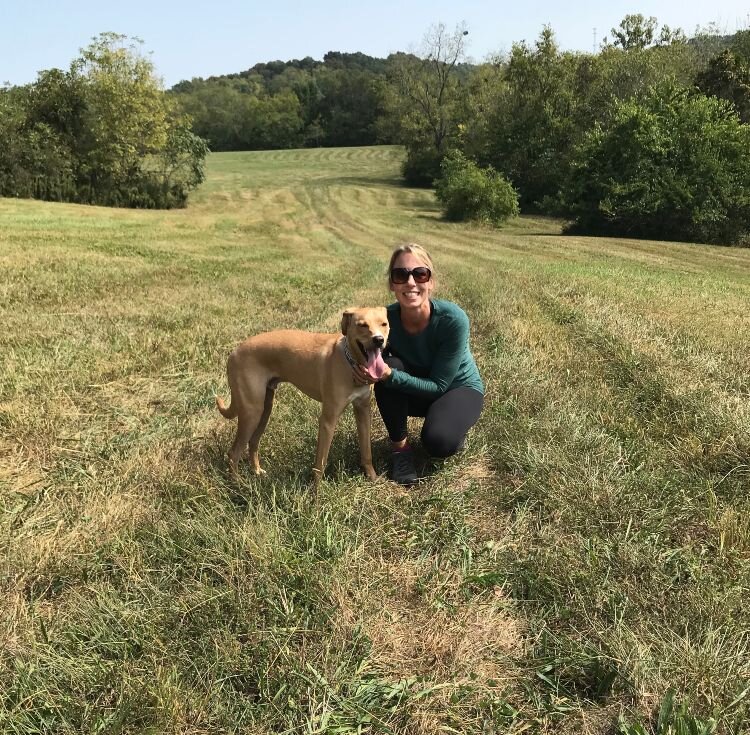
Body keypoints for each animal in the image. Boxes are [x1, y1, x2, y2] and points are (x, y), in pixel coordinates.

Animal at [216, 308, 388, 486]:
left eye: (384, 324)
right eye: (362, 325)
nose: (379, 340)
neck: (350, 363)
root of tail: (234, 353)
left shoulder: (363, 411)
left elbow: (367, 452)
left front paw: (373, 478)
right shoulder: (328, 419)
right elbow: (320, 463)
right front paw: (316, 491)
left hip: (264, 409)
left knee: (253, 442)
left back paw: (257, 472)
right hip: (252, 412)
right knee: (233, 453)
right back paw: (238, 483)